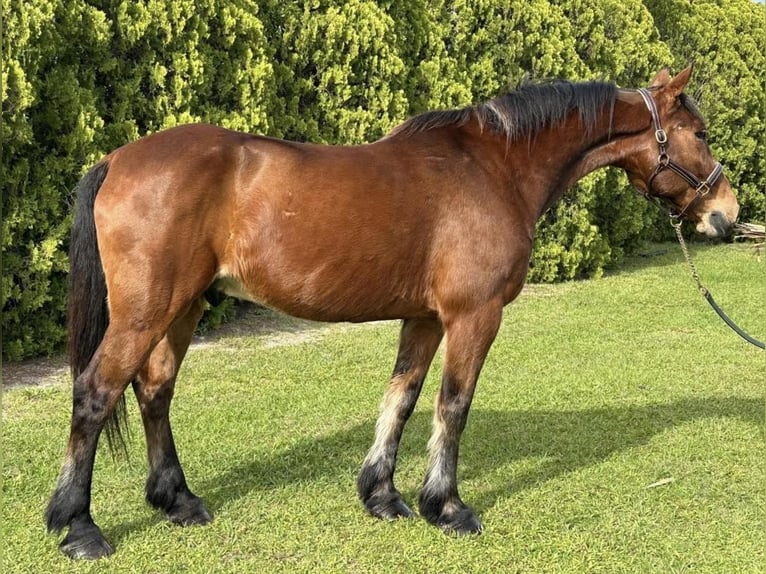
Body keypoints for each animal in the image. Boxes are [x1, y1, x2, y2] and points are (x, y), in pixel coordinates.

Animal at [46, 65, 736, 560]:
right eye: (700, 135)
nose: (725, 214)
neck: (494, 168)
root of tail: (117, 160)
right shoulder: (473, 315)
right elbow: (453, 405)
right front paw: (448, 507)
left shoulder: (425, 318)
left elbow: (401, 397)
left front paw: (382, 495)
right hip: (146, 311)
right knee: (96, 392)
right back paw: (79, 528)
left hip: (182, 307)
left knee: (154, 389)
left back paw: (178, 501)